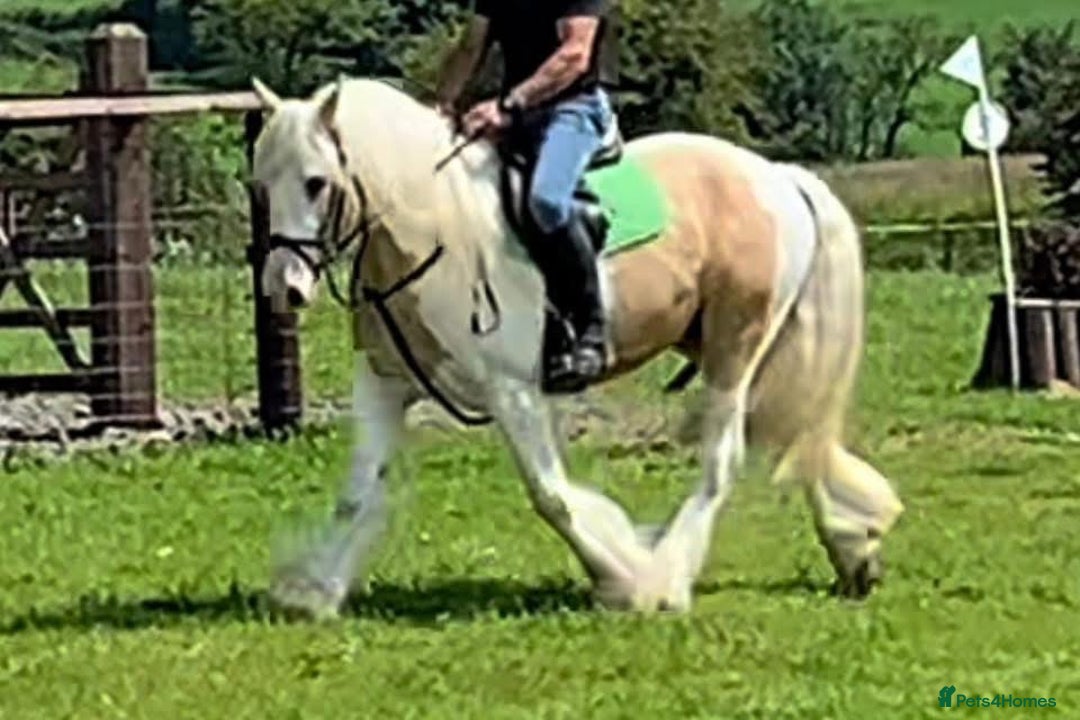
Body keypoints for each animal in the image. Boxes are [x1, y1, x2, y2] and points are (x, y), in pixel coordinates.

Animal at [248, 75, 904, 617]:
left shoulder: (512, 391)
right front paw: (316, 590)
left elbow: (552, 497)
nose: (283, 286)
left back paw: (669, 577)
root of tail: (777, 176)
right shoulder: (384, 384)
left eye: (316, 183)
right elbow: (358, 494)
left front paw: (624, 577)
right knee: (798, 430)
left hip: (734, 349)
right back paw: (854, 550)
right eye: (262, 185)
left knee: (725, 460)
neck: (430, 232)